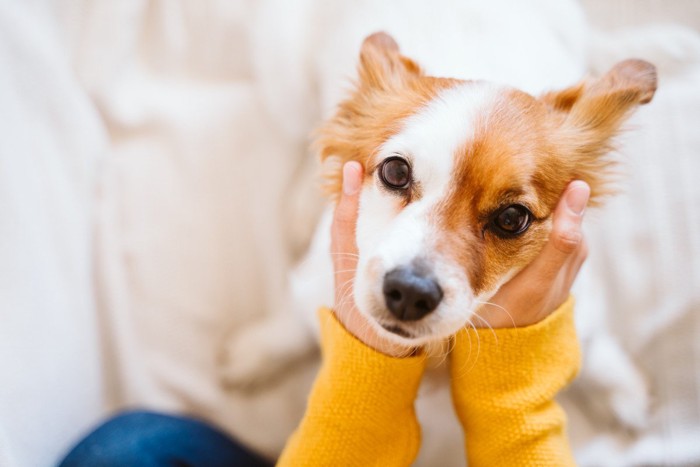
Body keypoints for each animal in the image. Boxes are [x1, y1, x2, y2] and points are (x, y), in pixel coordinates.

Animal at [223, 30, 656, 464]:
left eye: (512, 218)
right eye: (395, 171)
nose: (410, 293)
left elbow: (589, 342)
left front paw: (619, 389)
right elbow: (294, 321)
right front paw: (259, 351)